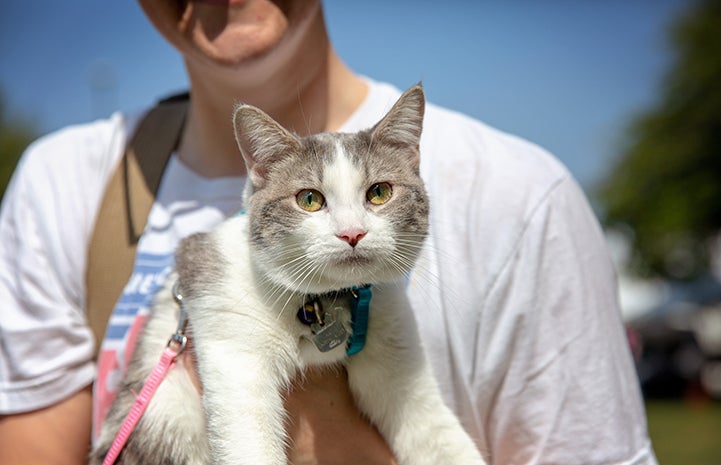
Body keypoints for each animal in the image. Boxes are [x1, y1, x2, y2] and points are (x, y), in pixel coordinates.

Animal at [90, 86, 484, 464]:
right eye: (309, 199)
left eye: (379, 192)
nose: (352, 233)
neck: (323, 302)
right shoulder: (231, 340)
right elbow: (249, 442)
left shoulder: (396, 351)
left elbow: (437, 431)